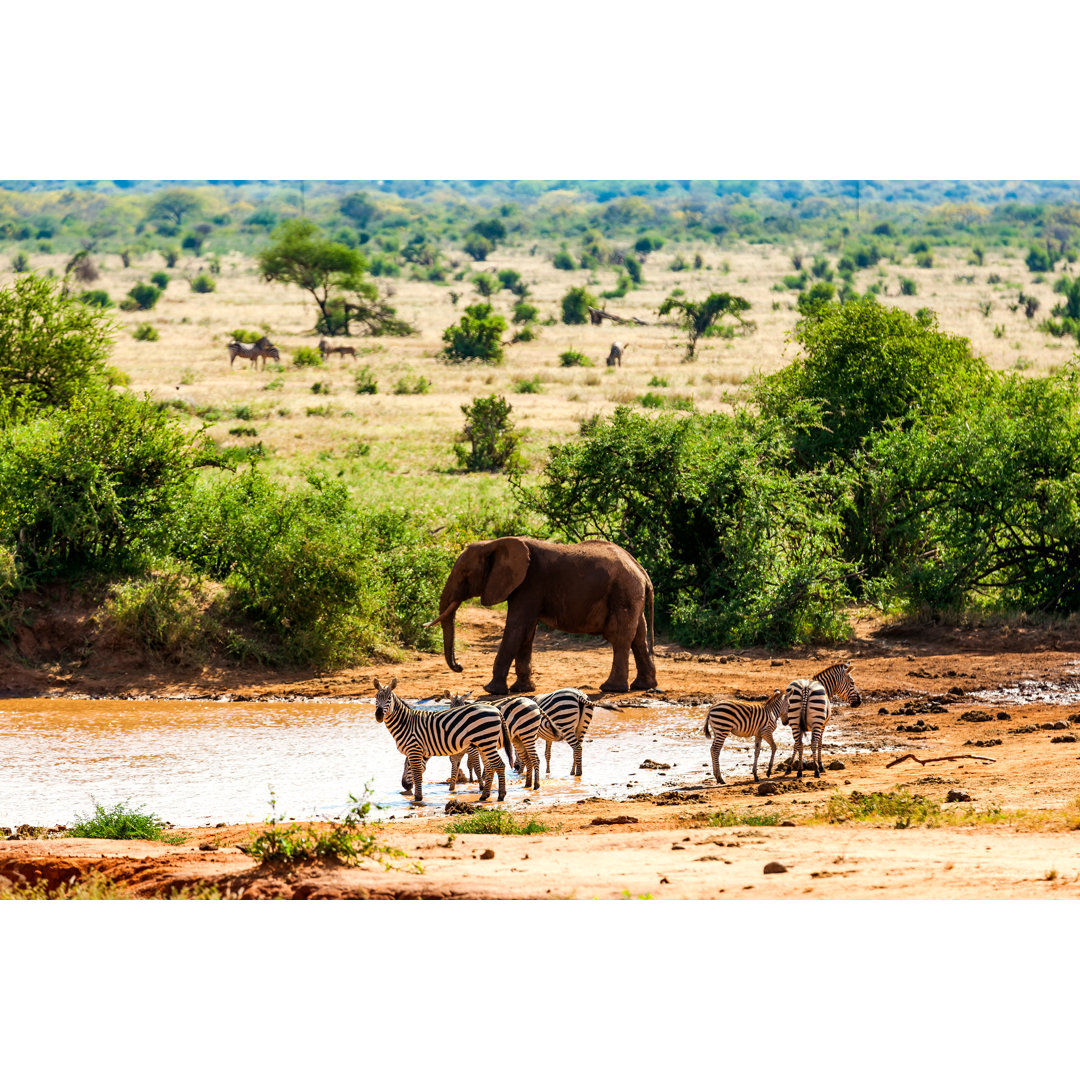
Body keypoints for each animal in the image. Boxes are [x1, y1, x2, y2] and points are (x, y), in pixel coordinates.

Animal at [371, 678, 505, 807]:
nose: (378, 715)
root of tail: (496, 709)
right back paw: (485, 796)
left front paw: (418, 798)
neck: (406, 723)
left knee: (499, 765)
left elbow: (417, 775)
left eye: (389, 699)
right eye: (376, 697)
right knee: (490, 767)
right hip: (485, 744)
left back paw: (501, 796)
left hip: (486, 742)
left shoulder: (414, 749)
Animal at [425, 535, 652, 695]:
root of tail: (642, 571)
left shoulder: (530, 584)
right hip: (631, 595)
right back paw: (642, 686)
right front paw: (522, 689)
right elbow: (526, 634)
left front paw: (491, 690)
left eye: (464, 572)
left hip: (623, 592)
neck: (493, 543)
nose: (460, 667)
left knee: (620, 638)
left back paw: (611, 688)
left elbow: (516, 628)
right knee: (639, 638)